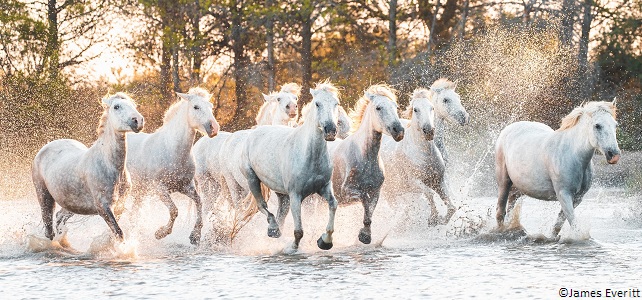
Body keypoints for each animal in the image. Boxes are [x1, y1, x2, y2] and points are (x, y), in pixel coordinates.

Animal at [32, 93, 142, 241]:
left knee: (59, 218)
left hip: (72, 205)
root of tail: (45, 147)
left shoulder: (120, 205)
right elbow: (119, 233)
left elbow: (115, 234)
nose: (138, 121)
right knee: (49, 230)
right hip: (44, 197)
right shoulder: (104, 208)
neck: (111, 167)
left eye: (134, 105)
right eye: (116, 106)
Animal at [126, 87, 219, 246]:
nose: (214, 128)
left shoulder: (186, 187)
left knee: (133, 214)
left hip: (140, 192)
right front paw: (160, 233)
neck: (173, 151)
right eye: (196, 107)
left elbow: (199, 203)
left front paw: (195, 236)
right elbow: (174, 210)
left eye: (211, 106)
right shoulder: (160, 189)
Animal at [239, 81, 340, 250]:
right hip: (252, 179)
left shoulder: (324, 187)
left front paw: (325, 241)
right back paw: (274, 229)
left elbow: (333, 204)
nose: (330, 131)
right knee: (262, 205)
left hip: (281, 193)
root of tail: (253, 132)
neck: (309, 154)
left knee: (281, 212)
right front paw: (292, 248)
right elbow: (298, 231)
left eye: (336, 103)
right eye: (317, 104)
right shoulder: (295, 195)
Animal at [328, 84, 402, 244]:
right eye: (378, 108)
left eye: (395, 106)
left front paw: (365, 235)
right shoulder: (346, 192)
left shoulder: (376, 192)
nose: (399, 130)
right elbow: (364, 198)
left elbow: (369, 211)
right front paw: (364, 235)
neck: (365, 157)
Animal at [492, 101, 616, 237]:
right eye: (597, 126)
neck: (573, 155)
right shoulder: (564, 194)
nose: (613, 154)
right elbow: (574, 224)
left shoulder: (578, 198)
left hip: (519, 188)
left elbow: (558, 224)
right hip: (504, 182)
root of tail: (507, 129)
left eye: (615, 125)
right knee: (500, 211)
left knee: (510, 208)